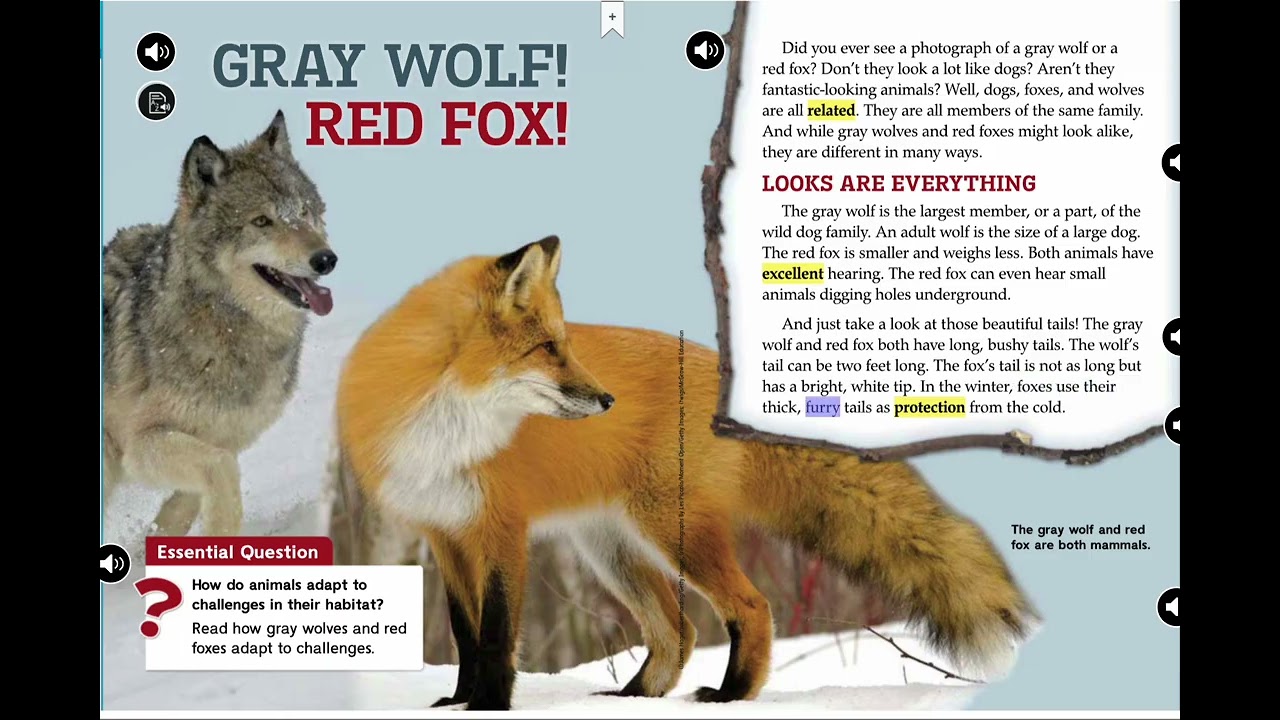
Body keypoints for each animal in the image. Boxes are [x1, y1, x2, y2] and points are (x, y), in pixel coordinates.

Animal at [103, 111, 337, 537]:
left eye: (304, 211)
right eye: (262, 221)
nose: (326, 259)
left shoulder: (224, 437)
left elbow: (183, 506)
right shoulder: (141, 444)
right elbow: (222, 472)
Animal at [335, 236, 1036, 710]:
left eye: (566, 344)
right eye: (548, 349)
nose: (606, 399)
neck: (441, 426)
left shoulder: (501, 530)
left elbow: (497, 631)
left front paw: (488, 705)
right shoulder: (444, 532)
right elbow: (465, 632)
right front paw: (458, 702)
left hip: (670, 532)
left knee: (748, 608)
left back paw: (730, 696)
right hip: (611, 548)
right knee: (678, 629)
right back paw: (634, 698)